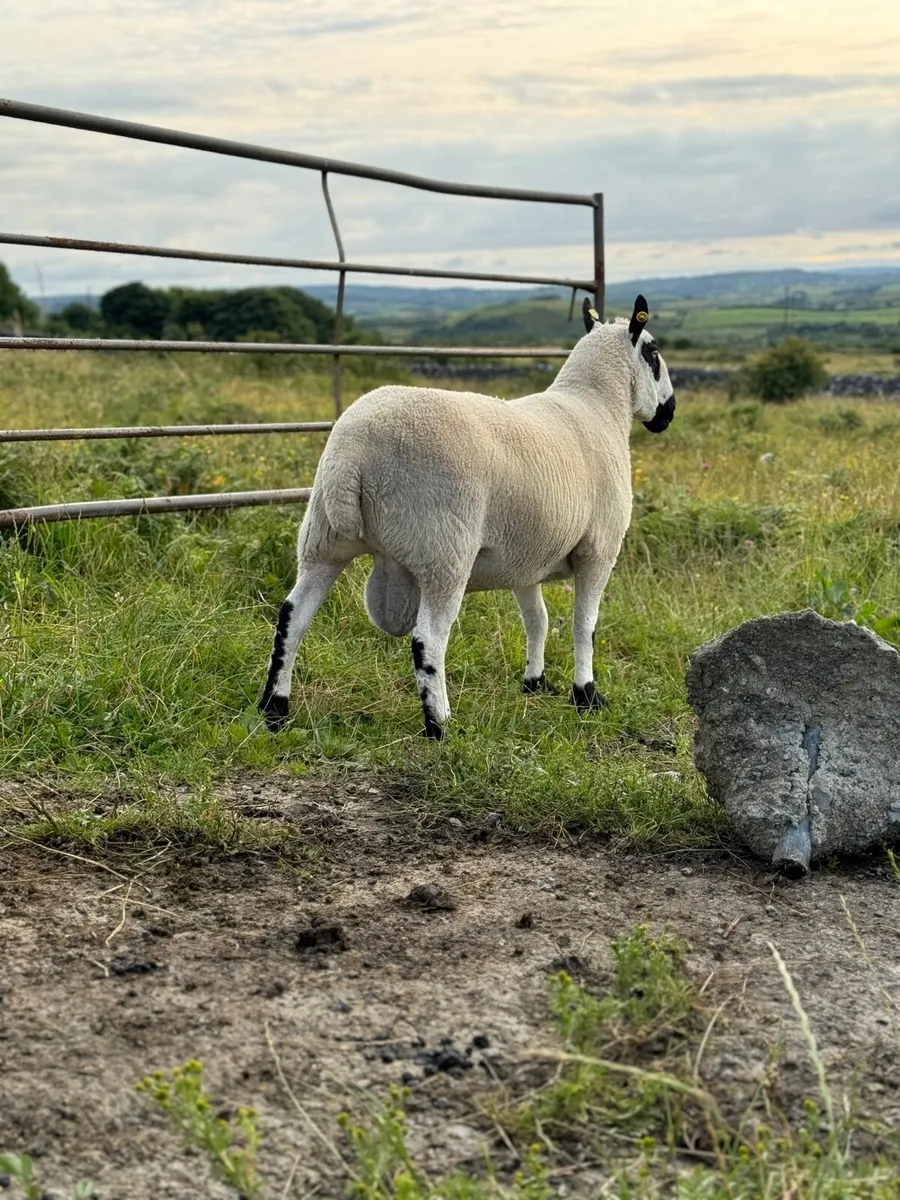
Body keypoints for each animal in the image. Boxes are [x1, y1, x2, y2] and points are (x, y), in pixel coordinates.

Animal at [259, 294, 675, 738]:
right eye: (653, 353)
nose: (668, 411)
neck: (597, 408)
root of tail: (353, 452)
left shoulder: (525, 560)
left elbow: (537, 620)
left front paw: (535, 682)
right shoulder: (598, 549)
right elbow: (585, 624)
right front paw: (587, 696)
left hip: (323, 540)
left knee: (293, 617)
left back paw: (274, 709)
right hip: (443, 552)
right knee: (428, 639)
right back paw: (439, 724)